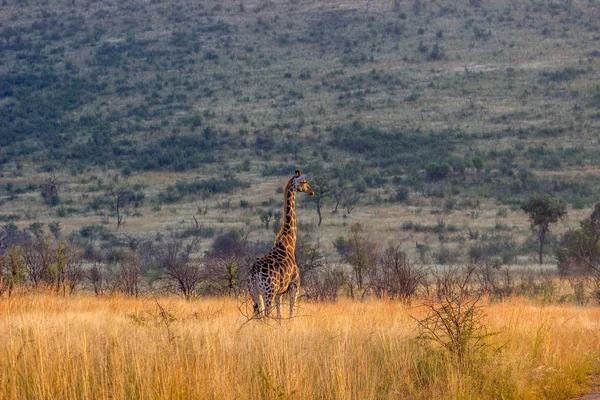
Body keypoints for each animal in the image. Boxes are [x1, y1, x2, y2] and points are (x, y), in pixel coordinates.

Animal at [247, 171, 314, 318]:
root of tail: (254, 272)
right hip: (268, 292)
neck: (289, 244)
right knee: (266, 315)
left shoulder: (280, 292)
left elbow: (279, 315)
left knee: (258, 315)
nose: (311, 191)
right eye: (304, 182)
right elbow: (290, 313)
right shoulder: (294, 285)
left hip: (254, 293)